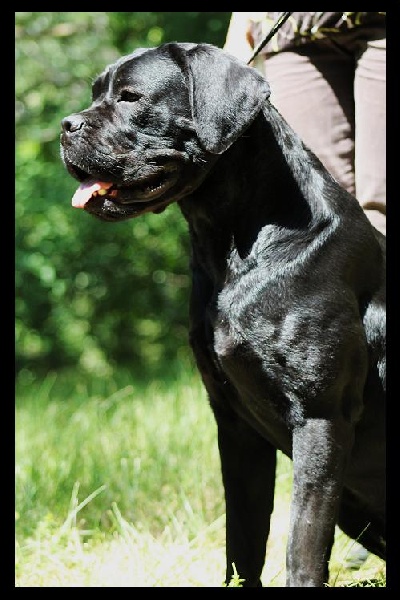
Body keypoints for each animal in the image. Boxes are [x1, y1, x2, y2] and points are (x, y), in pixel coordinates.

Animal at [60, 42, 384, 584]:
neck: (237, 247)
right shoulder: (234, 423)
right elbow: (243, 539)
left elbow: (301, 545)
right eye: (94, 94)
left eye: (130, 97)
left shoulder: (322, 418)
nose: (66, 125)